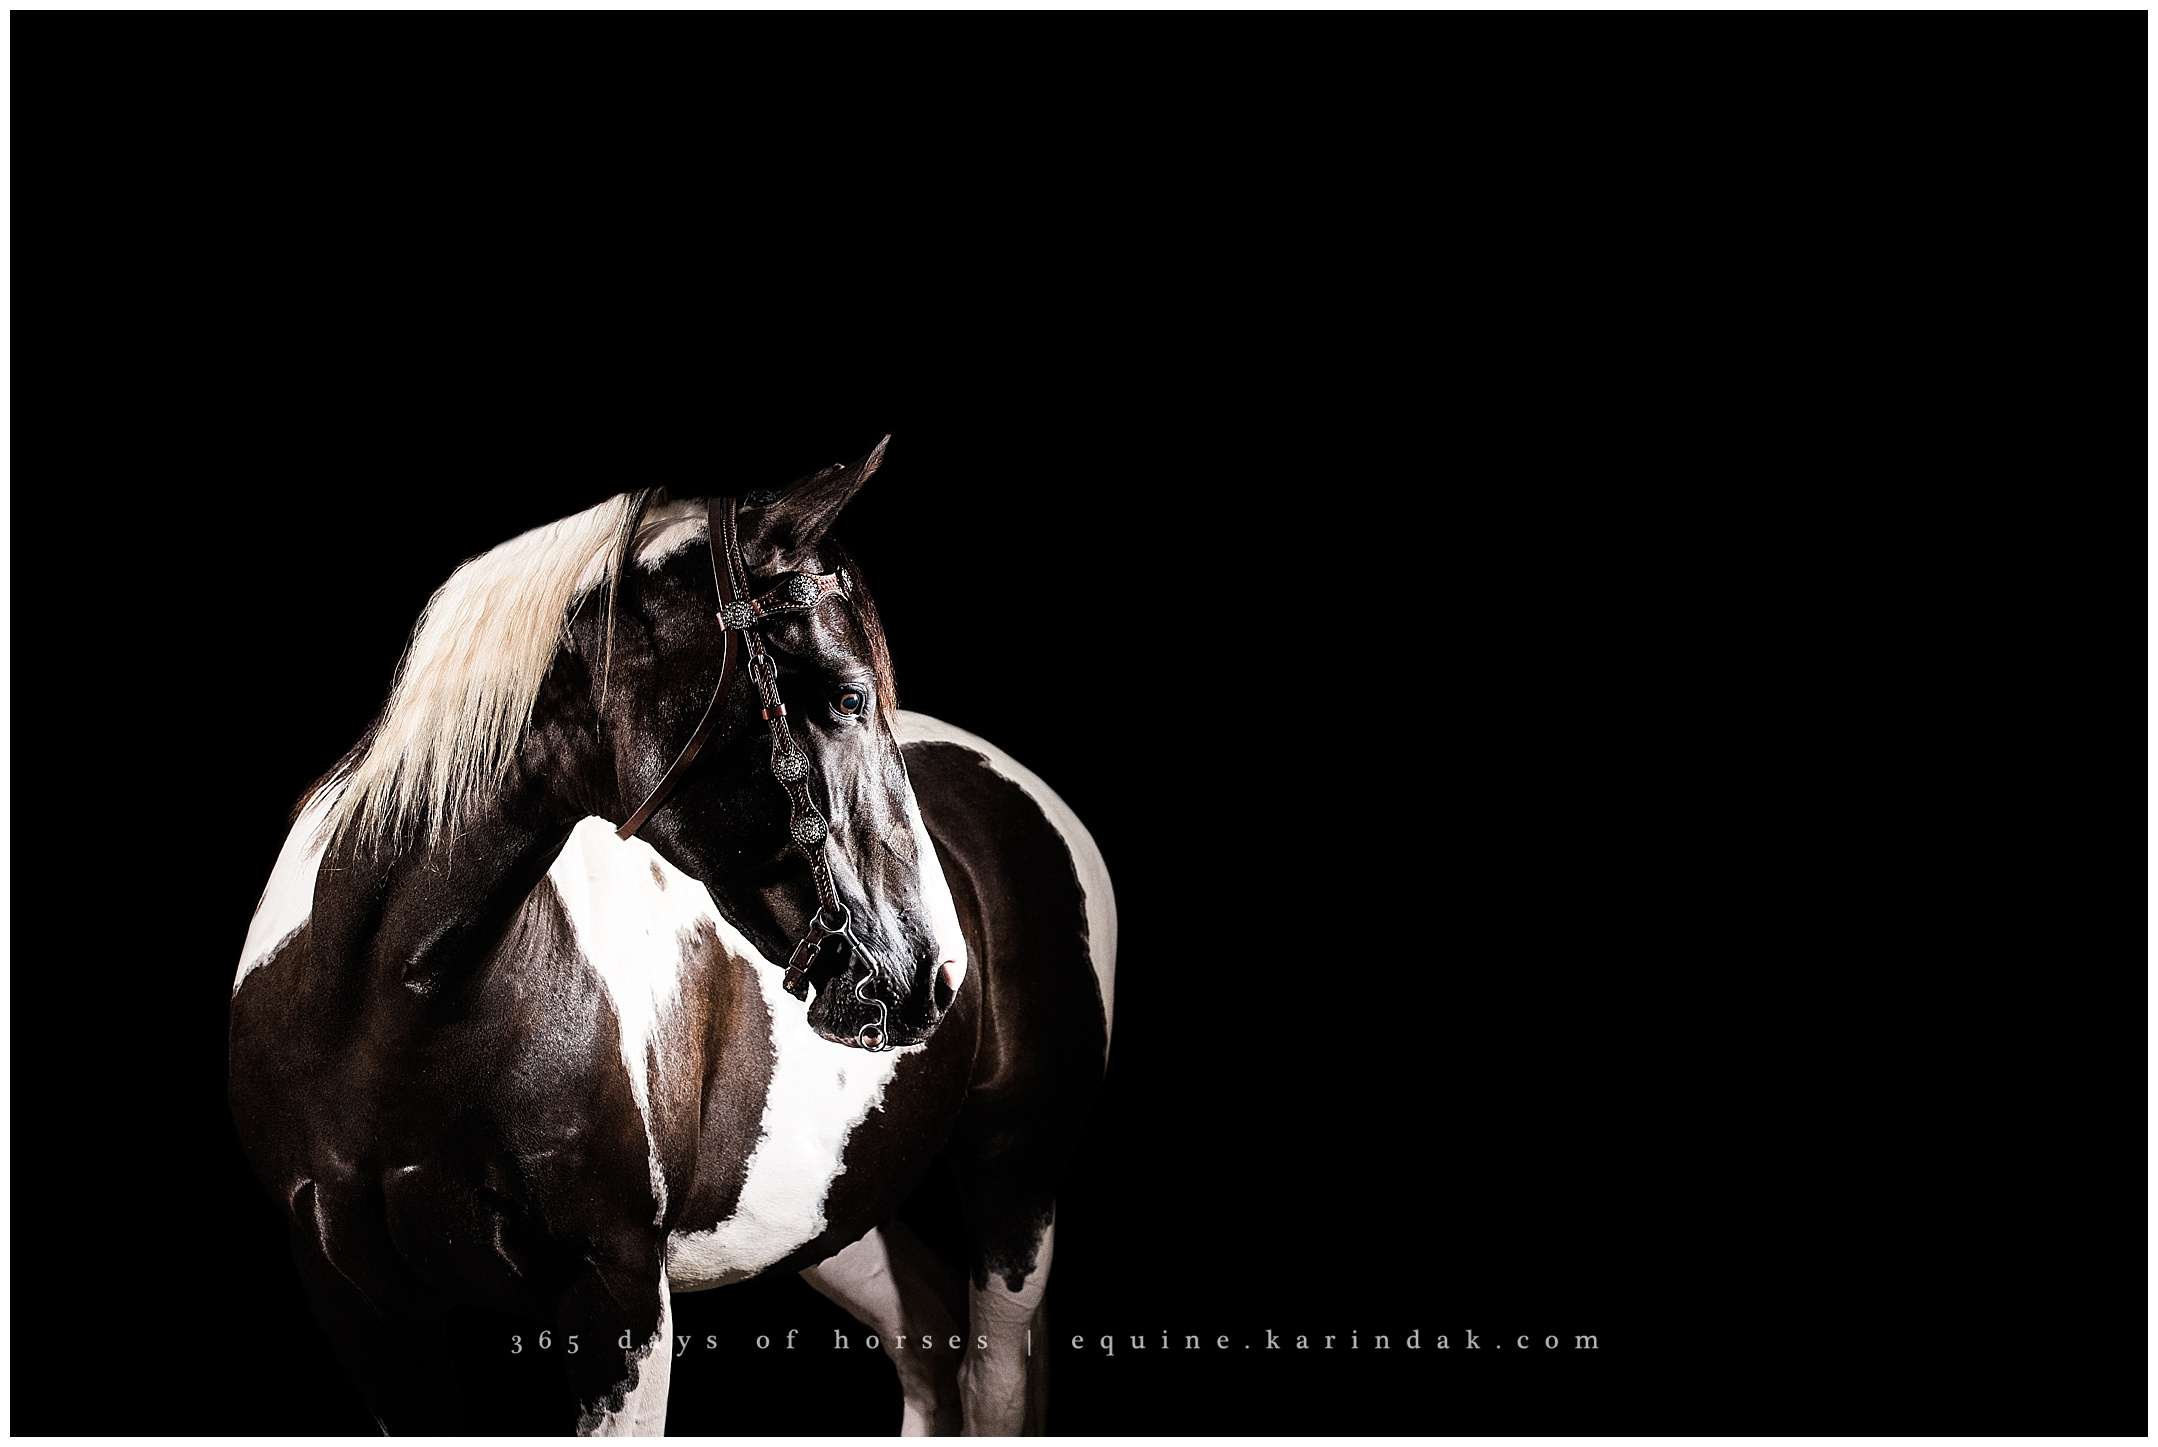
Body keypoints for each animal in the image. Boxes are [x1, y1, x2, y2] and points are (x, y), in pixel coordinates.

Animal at [227, 440, 1116, 1435]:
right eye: (850, 698)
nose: (936, 972)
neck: (389, 1010)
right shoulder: (364, 1309)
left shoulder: (616, 1295)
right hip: (827, 1214)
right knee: (926, 1345)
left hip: (1016, 1177)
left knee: (990, 1377)